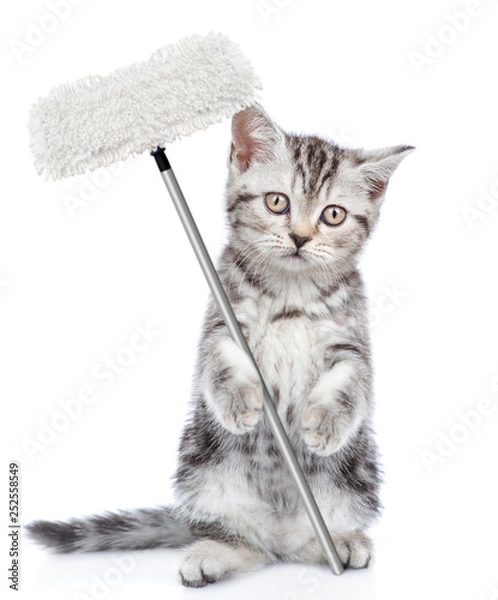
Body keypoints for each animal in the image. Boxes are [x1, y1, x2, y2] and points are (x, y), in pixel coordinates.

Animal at [28, 106, 416, 584]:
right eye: (277, 202)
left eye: (333, 215)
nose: (301, 237)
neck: (291, 295)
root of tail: (280, 533)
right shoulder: (220, 322)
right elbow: (220, 359)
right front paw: (237, 401)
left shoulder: (352, 340)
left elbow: (351, 381)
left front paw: (324, 422)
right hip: (202, 468)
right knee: (243, 541)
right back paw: (212, 553)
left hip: (356, 478)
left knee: (306, 540)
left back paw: (340, 543)